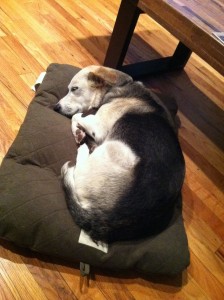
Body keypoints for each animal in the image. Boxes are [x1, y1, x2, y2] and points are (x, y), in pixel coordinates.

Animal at [54, 66, 186, 244]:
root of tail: (110, 218)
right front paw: (79, 131)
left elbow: (77, 117)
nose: (56, 107)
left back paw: (83, 150)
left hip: (114, 152)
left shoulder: (98, 127)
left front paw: (77, 131)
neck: (120, 86)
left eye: (74, 89)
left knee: (77, 167)